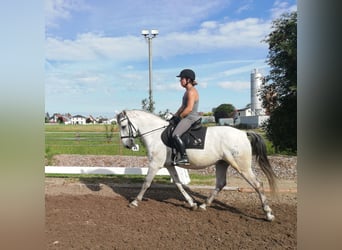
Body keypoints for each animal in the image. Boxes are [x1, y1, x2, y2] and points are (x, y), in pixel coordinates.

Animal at [117, 109, 278, 221]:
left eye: (124, 125)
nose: (127, 145)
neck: (156, 135)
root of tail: (244, 134)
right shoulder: (169, 165)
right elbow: (179, 184)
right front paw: (191, 203)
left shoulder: (155, 164)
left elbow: (146, 183)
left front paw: (135, 202)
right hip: (222, 163)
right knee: (220, 184)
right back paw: (203, 205)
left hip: (242, 166)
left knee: (258, 184)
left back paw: (268, 214)